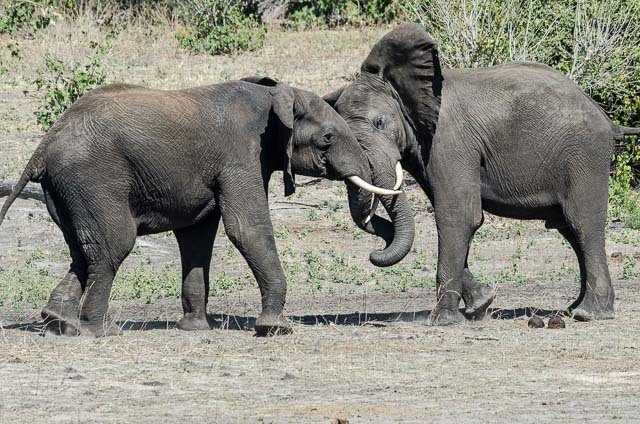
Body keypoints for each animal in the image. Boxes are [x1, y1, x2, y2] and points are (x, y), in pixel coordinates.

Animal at [0, 75, 404, 334]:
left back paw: (59, 323)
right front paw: (275, 329)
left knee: (84, 250)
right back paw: (101, 330)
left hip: (70, 188)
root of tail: (43, 146)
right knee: (114, 244)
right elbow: (246, 228)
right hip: (93, 178)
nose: (374, 251)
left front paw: (194, 328)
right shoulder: (240, 154)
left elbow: (197, 236)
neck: (275, 97)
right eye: (328, 138)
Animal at [324, 23, 640, 324]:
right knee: (568, 229)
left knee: (582, 224)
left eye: (379, 123)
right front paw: (481, 306)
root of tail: (607, 120)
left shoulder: (450, 142)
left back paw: (589, 314)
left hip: (584, 156)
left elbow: (457, 216)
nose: (373, 253)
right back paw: (572, 309)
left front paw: (442, 321)